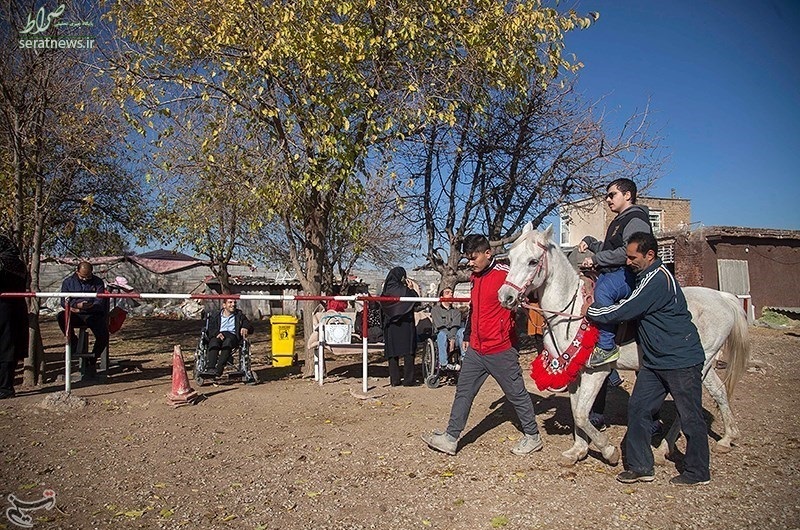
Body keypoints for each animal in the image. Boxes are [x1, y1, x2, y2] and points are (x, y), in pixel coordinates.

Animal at [496, 221, 752, 464]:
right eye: (510, 258)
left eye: (533, 261)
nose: (505, 297)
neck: (570, 311)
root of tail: (723, 297)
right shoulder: (574, 370)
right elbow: (575, 409)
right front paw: (578, 450)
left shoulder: (596, 372)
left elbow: (581, 414)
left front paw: (608, 451)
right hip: (703, 365)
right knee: (718, 391)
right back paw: (727, 438)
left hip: (694, 366)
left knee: (687, 406)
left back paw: (663, 449)